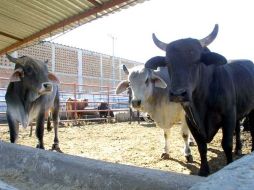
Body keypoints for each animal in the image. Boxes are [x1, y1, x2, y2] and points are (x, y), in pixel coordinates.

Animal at [150, 24, 254, 176]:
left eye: (196, 60)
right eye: (168, 63)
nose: (178, 94)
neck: (200, 103)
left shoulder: (228, 115)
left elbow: (226, 144)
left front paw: (229, 164)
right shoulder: (191, 120)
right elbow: (201, 146)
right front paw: (203, 170)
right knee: (238, 129)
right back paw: (239, 149)